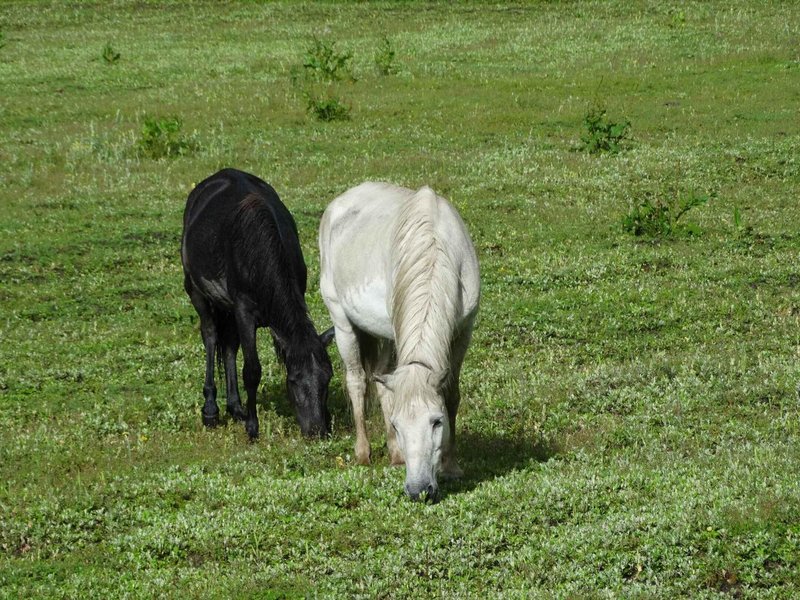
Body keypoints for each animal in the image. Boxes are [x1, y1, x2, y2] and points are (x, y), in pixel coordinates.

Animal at [181, 168, 335, 440]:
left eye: (327, 379)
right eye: (294, 380)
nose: (316, 431)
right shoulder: (244, 311)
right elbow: (252, 370)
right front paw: (253, 428)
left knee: (229, 346)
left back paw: (235, 408)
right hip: (196, 291)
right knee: (210, 335)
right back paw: (211, 411)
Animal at [319, 182, 480, 501]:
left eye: (436, 421)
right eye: (397, 424)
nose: (418, 490)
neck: (434, 249)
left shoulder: (464, 330)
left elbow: (452, 394)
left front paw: (452, 466)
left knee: (383, 383)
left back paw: (395, 455)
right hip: (342, 322)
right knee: (357, 381)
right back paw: (363, 453)